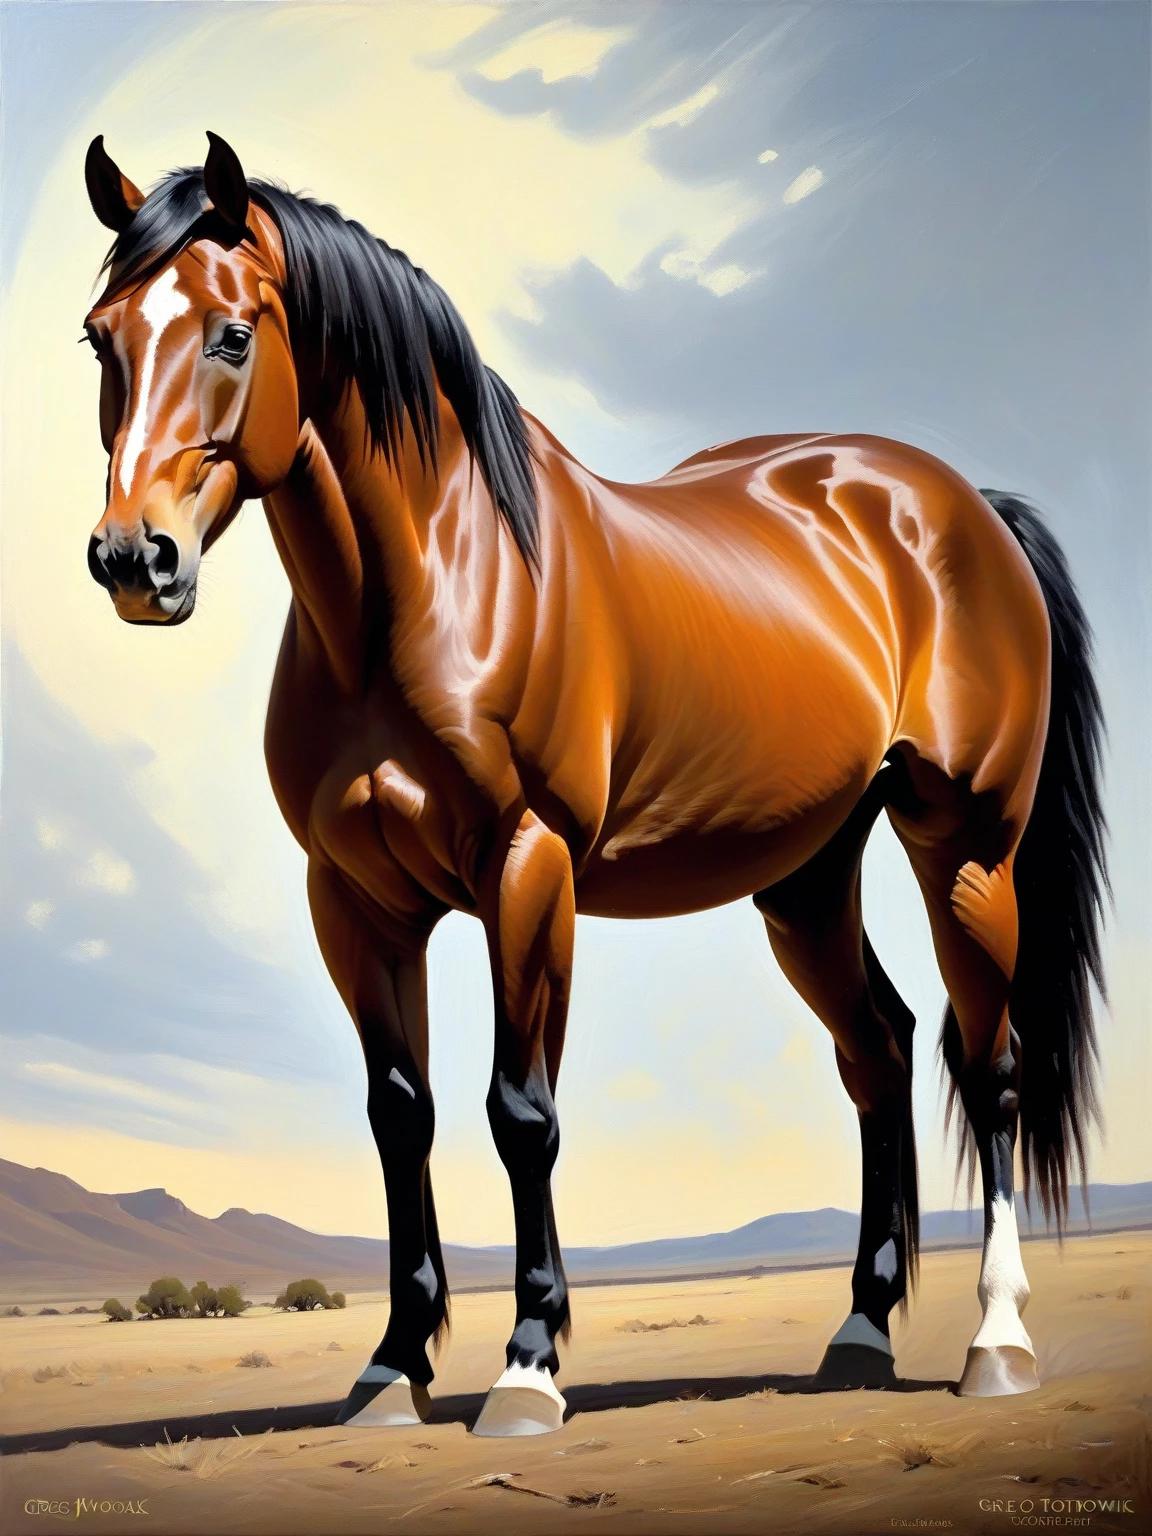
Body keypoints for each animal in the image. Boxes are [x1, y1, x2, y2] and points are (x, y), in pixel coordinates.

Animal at [81, 132, 1106, 1436]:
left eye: (228, 334)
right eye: (100, 338)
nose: (134, 559)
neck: (432, 588)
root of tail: (961, 505)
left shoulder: (530, 869)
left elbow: (521, 1112)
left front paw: (527, 1370)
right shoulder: (354, 900)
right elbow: (399, 1115)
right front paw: (392, 1367)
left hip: (965, 848)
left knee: (991, 1070)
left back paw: (997, 1344)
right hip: (807, 878)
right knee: (876, 1050)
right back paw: (861, 1334)